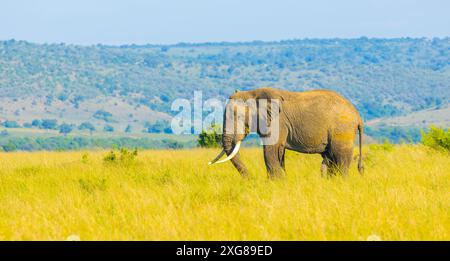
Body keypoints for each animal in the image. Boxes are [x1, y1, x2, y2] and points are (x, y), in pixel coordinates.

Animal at [209, 86, 364, 178]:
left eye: (239, 117)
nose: (250, 179)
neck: (253, 93)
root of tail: (357, 115)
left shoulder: (278, 122)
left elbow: (270, 152)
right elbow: (279, 152)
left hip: (342, 130)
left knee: (340, 158)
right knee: (331, 157)